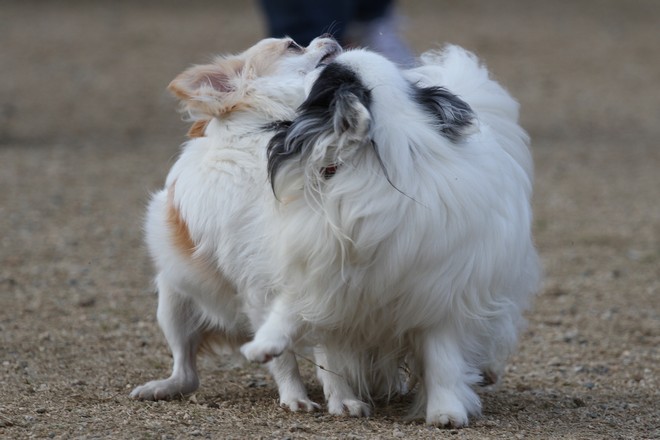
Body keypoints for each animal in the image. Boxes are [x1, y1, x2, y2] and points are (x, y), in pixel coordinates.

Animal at [130, 36, 341, 412]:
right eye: (293, 45)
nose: (326, 37)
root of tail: (233, 329)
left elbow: (328, 353)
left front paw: (343, 399)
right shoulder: (257, 285)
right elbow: (283, 360)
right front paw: (296, 398)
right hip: (172, 302)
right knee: (187, 372)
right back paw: (162, 387)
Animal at [241, 46, 541, 427]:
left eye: (327, 76)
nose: (333, 49)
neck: (371, 162)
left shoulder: (439, 296)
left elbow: (443, 359)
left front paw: (446, 412)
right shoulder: (323, 268)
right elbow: (290, 309)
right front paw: (263, 346)